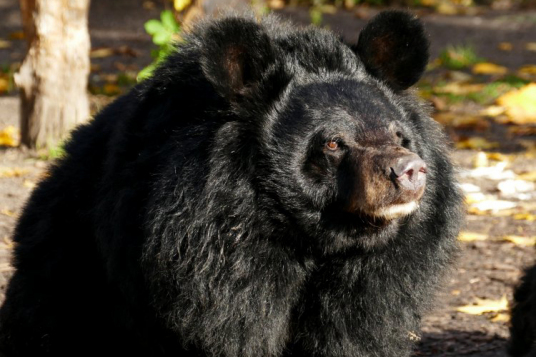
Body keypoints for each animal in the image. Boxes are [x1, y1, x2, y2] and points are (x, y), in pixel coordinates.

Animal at [0, 10, 462, 356]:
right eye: (333, 143)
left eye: (399, 136)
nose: (409, 171)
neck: (314, 235)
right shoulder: (208, 249)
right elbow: (230, 326)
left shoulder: (382, 270)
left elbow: (358, 328)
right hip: (65, 270)